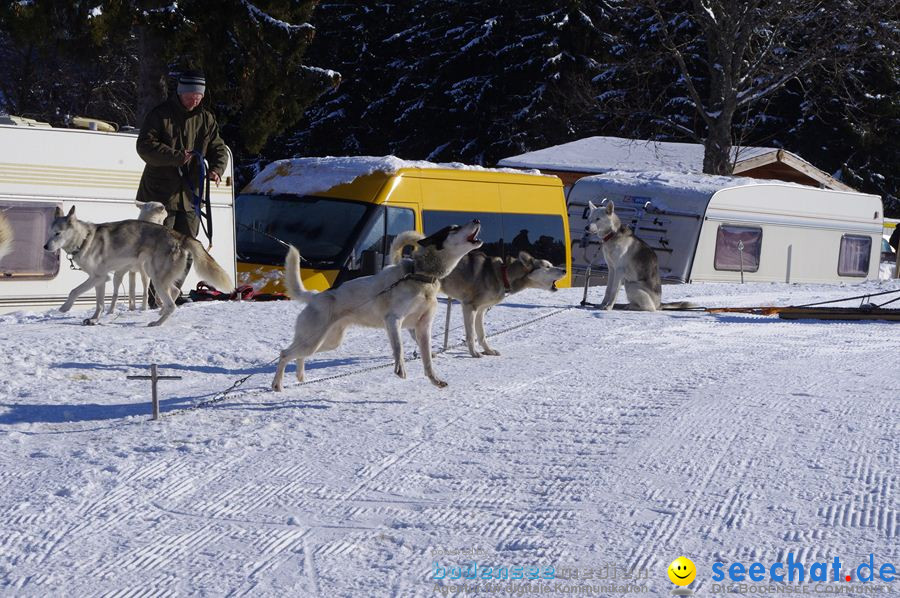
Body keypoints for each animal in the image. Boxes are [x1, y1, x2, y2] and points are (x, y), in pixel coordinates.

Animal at [43, 207, 232, 328]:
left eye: (58, 233)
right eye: (49, 232)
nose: (45, 246)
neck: (84, 240)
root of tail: (179, 235)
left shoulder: (98, 278)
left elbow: (74, 291)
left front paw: (65, 308)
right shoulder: (101, 279)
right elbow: (100, 304)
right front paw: (94, 320)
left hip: (155, 278)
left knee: (173, 304)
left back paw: (157, 323)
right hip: (154, 275)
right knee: (175, 291)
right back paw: (161, 312)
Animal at [272, 220, 486, 394]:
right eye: (453, 228)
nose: (477, 219)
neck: (420, 275)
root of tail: (315, 296)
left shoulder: (423, 327)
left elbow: (427, 360)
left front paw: (435, 379)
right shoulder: (393, 320)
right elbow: (399, 347)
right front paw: (400, 368)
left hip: (328, 342)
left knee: (298, 356)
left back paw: (300, 376)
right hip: (313, 340)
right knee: (284, 354)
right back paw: (277, 384)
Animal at [392, 236, 568, 358]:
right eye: (548, 266)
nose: (564, 270)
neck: (502, 274)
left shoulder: (481, 310)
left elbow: (481, 334)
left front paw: (488, 350)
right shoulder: (469, 307)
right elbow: (471, 335)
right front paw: (474, 353)